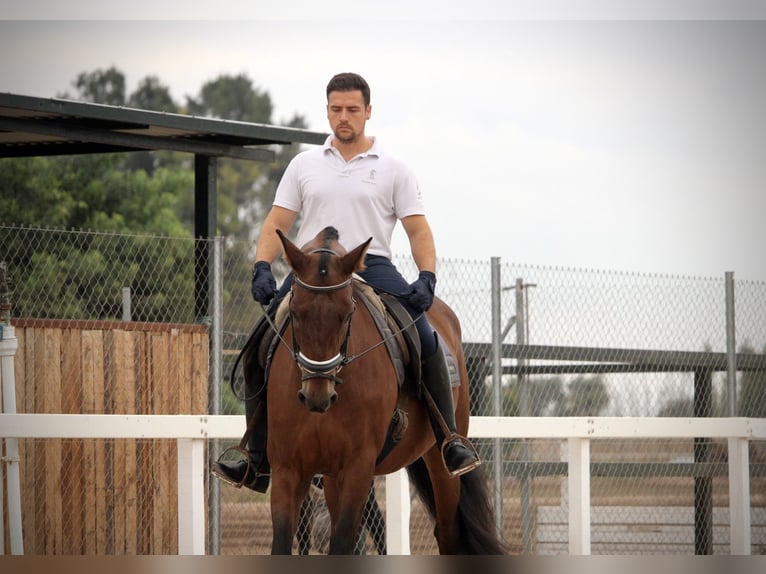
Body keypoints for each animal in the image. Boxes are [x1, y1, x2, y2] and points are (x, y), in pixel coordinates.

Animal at [263, 226, 507, 554]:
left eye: (347, 313)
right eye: (296, 312)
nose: (317, 396)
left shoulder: (357, 469)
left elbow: (344, 542)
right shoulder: (288, 469)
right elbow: (284, 542)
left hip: (440, 461)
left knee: (448, 532)